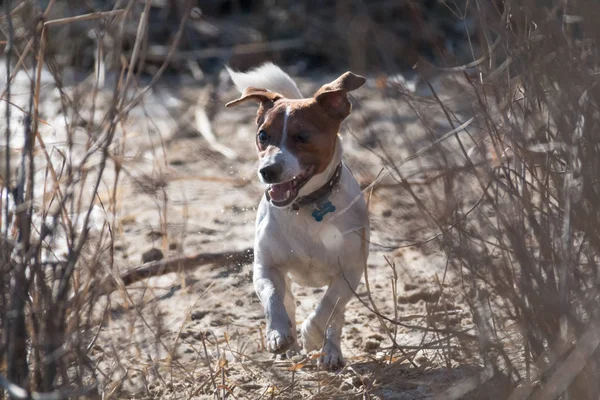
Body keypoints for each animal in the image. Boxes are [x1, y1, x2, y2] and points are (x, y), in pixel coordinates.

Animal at [225, 62, 368, 368]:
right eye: (263, 135)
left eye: (302, 137)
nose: (267, 171)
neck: (305, 207)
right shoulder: (266, 267)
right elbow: (273, 297)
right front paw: (279, 333)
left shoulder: (349, 274)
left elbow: (327, 308)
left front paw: (311, 338)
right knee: (289, 299)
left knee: (336, 316)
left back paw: (330, 351)